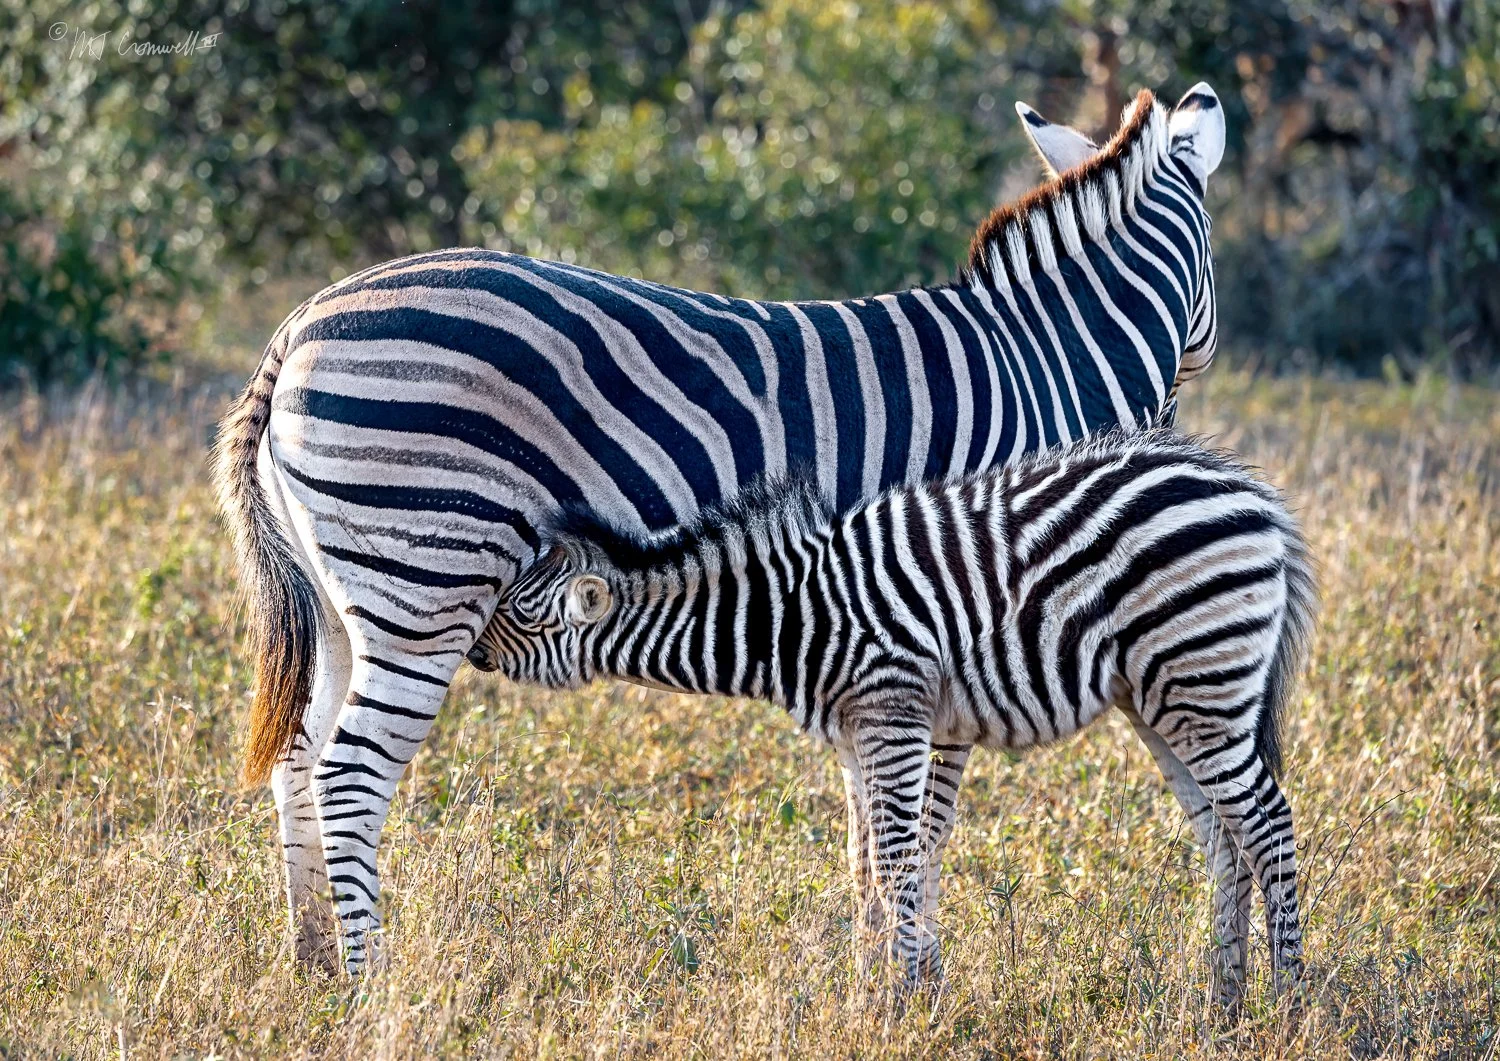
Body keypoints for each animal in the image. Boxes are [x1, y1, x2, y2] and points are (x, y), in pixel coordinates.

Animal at [213, 83, 1229, 973]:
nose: (1176, 430)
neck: (1050, 353)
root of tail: (298, 328)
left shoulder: (877, 628)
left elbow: (870, 815)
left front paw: (872, 958)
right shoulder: (963, 602)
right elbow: (922, 818)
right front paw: (917, 970)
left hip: (346, 597)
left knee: (299, 757)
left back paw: (312, 959)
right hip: (428, 577)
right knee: (349, 775)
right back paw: (371, 982)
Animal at [469, 429, 1316, 1006]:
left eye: (518, 610)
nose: (470, 650)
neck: (790, 618)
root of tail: (1256, 498)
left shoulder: (894, 710)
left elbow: (901, 856)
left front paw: (903, 997)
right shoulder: (852, 734)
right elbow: (864, 861)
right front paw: (869, 984)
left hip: (1200, 680)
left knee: (1267, 822)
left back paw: (1287, 997)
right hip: (1163, 699)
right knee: (1224, 835)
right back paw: (1222, 997)